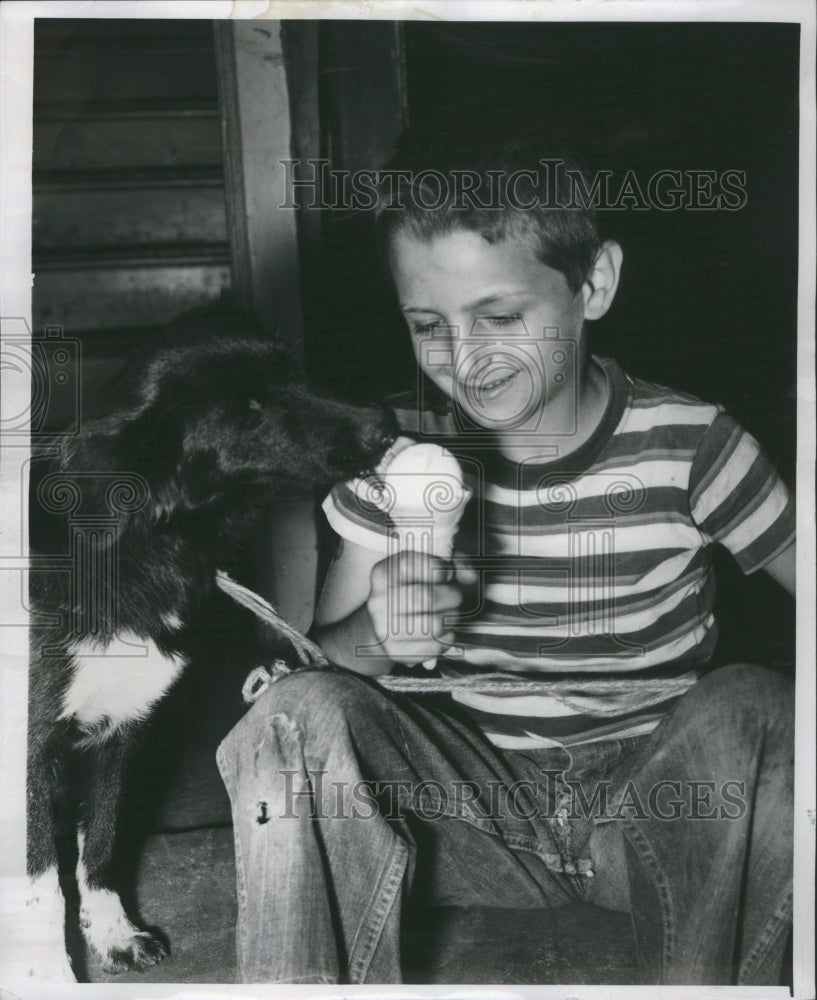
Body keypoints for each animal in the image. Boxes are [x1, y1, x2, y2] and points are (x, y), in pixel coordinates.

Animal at [25, 328, 396, 976]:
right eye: (248, 414)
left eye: (295, 375)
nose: (385, 425)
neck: (131, 544)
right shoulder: (29, 751)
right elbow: (42, 883)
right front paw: (49, 977)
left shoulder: (119, 731)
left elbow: (100, 846)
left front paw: (115, 936)